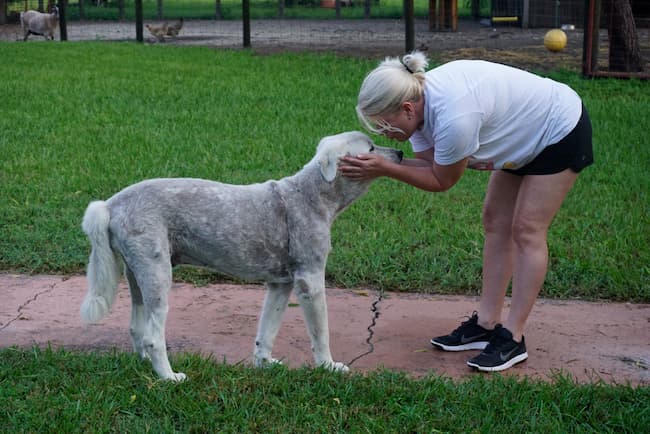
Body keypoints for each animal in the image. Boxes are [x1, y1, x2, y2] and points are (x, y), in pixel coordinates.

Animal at [79, 131, 400, 380]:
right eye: (371, 148)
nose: (398, 152)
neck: (310, 195)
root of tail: (110, 205)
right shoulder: (310, 281)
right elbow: (321, 332)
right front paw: (328, 366)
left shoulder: (280, 285)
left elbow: (268, 330)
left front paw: (265, 364)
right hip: (157, 276)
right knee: (152, 338)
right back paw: (169, 377)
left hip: (137, 277)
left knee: (136, 329)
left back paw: (146, 366)